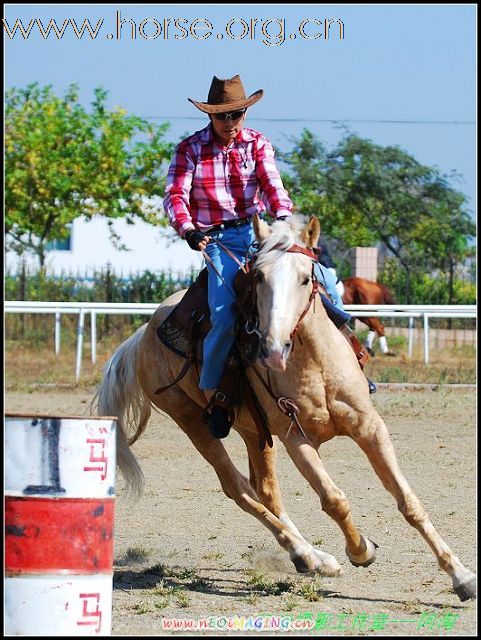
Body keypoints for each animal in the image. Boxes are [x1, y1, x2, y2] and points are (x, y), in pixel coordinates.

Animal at [92, 218, 474, 604]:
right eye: (259, 277)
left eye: (306, 277)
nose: (273, 347)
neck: (315, 366)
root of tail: (143, 334)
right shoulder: (297, 440)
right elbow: (334, 500)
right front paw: (360, 550)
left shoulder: (369, 427)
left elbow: (408, 501)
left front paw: (460, 576)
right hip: (193, 424)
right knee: (238, 489)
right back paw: (309, 555)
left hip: (252, 430)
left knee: (265, 490)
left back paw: (312, 557)